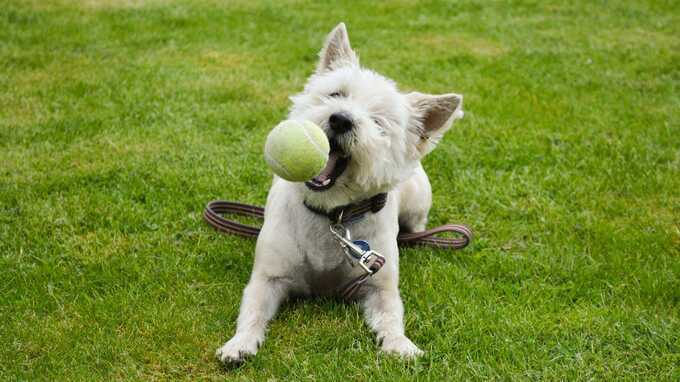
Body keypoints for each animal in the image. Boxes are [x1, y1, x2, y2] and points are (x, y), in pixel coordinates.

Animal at [216, 22, 462, 362]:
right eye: (336, 94)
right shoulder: (268, 278)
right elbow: (252, 311)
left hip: (417, 201)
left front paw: (400, 344)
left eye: (379, 122)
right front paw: (239, 344)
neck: (332, 215)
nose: (341, 119)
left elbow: (390, 316)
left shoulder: (379, 285)